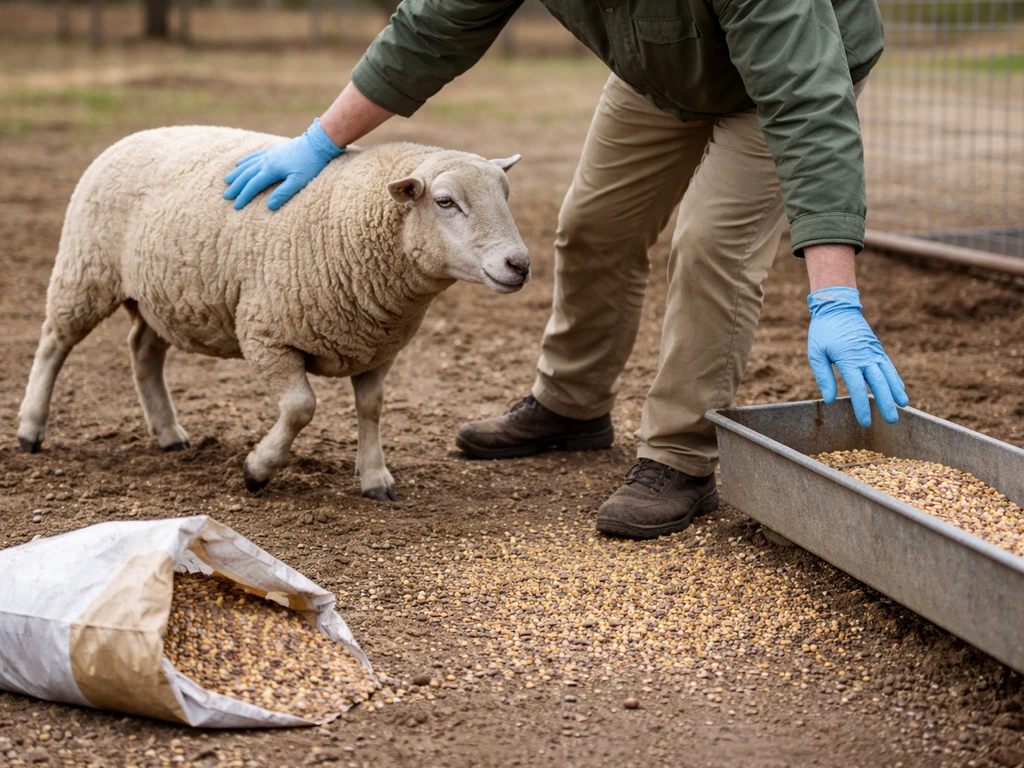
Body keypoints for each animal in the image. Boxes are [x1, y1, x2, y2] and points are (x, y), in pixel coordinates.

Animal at [17, 126, 530, 500]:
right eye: (445, 201)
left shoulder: (378, 348)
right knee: (54, 342)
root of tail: (133, 135)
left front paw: (375, 477)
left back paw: (169, 433)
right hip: (86, 270)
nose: (519, 264)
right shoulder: (267, 334)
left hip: (162, 295)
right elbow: (301, 408)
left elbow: (372, 408)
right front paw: (257, 469)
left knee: (143, 351)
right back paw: (30, 428)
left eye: (507, 197)